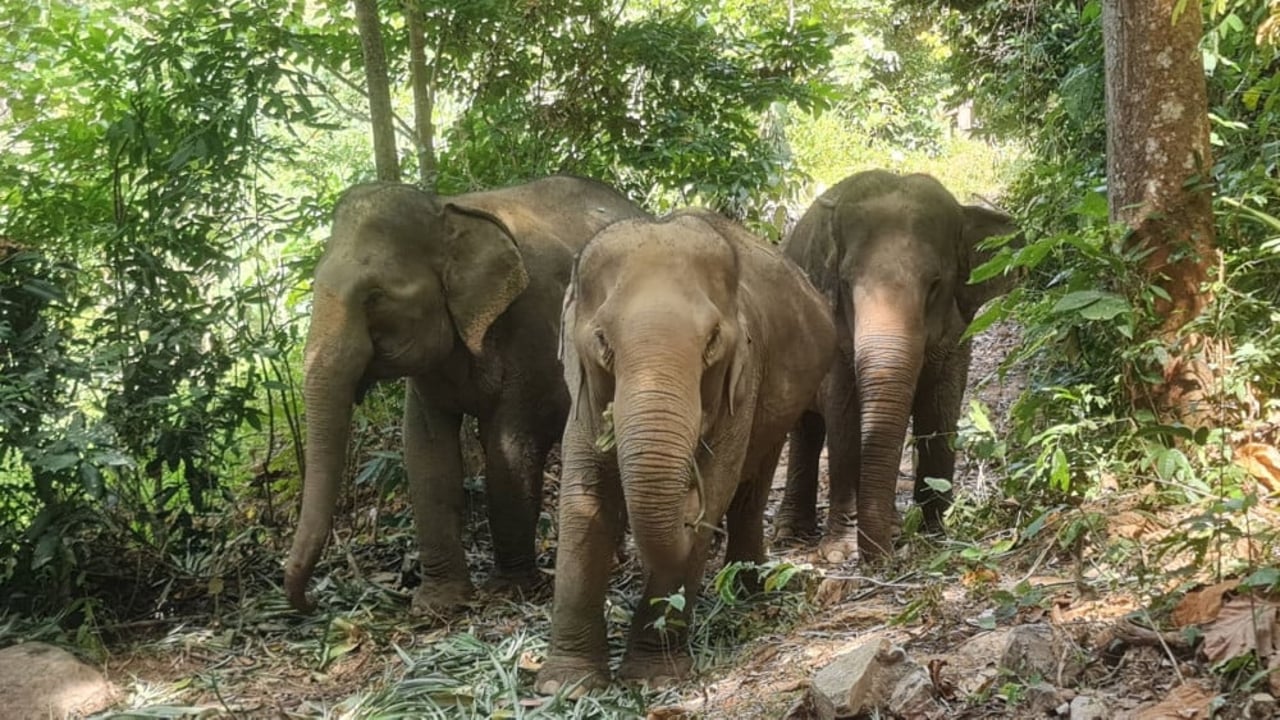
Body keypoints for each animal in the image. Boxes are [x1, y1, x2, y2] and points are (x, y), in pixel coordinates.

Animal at [290, 174, 650, 609]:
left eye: (375, 297)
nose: (308, 602)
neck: (447, 209)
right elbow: (426, 452)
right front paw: (439, 603)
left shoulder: (535, 325)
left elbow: (512, 446)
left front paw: (507, 590)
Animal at [535, 207, 834, 691]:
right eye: (602, 341)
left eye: (712, 340)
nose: (687, 497)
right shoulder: (582, 398)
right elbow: (583, 499)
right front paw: (565, 685)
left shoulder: (743, 385)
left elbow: (719, 483)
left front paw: (652, 678)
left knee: (751, 487)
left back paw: (749, 590)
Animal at [773, 167, 1013, 561]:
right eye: (845, 282)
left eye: (935, 284)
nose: (882, 557)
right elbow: (844, 419)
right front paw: (841, 552)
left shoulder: (958, 331)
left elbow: (940, 410)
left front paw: (937, 533)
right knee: (805, 429)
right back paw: (790, 535)